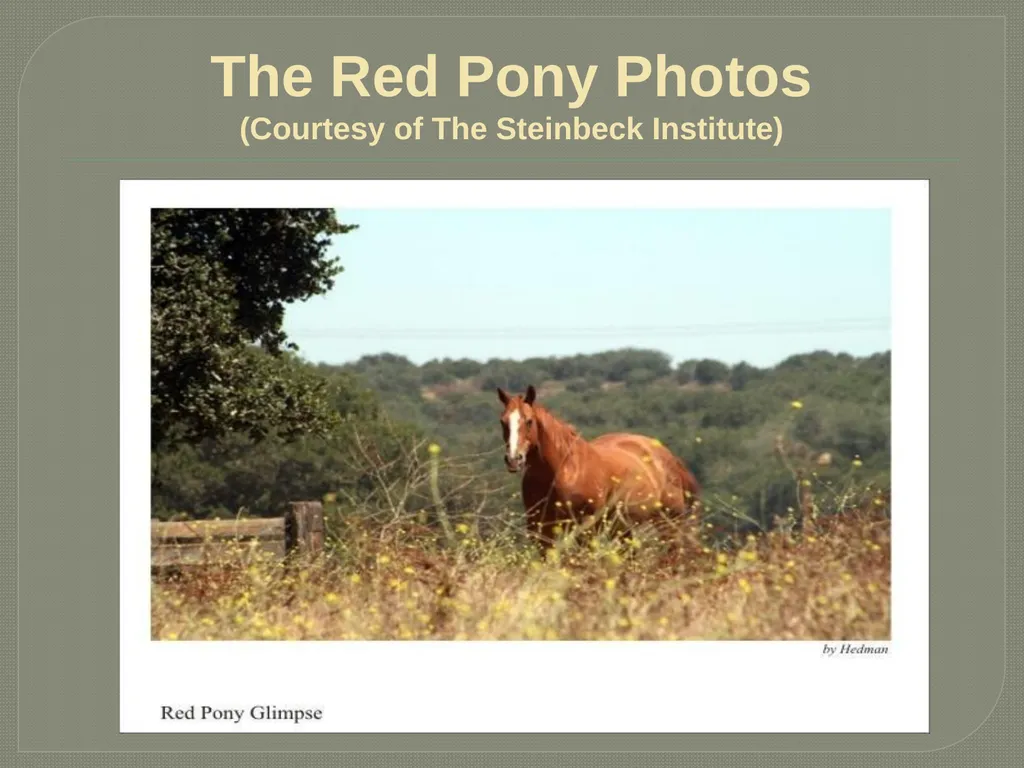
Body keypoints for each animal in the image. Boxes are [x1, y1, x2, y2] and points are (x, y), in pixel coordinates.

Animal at [497, 385, 701, 549]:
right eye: (503, 422)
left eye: (529, 421)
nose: (513, 459)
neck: (564, 470)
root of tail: (668, 457)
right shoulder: (539, 526)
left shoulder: (585, 525)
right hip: (623, 528)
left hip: (670, 521)